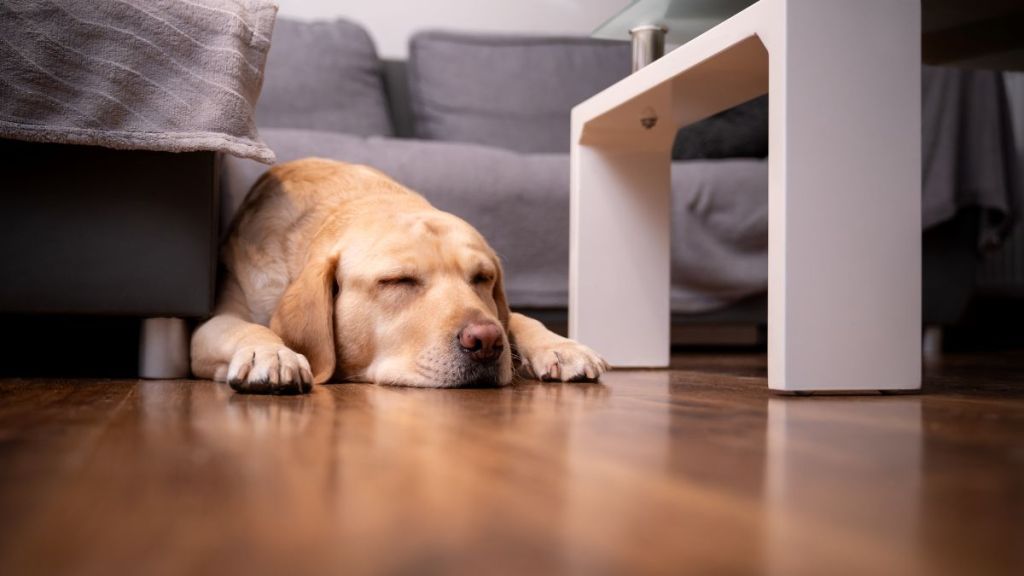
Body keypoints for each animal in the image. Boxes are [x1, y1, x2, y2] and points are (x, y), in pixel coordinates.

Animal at [190, 157, 606, 389]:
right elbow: (248, 327)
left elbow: (516, 318)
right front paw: (274, 352)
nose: (486, 340)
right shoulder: (210, 326)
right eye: (397, 281)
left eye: (483, 278)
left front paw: (561, 345)